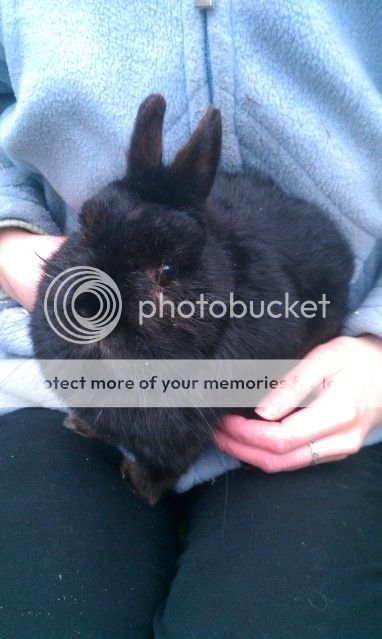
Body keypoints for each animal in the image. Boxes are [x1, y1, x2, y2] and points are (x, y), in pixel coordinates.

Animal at [30, 95, 356, 504]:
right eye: (85, 229)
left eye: (167, 271)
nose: (87, 310)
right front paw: (78, 424)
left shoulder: (188, 431)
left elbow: (170, 462)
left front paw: (140, 484)